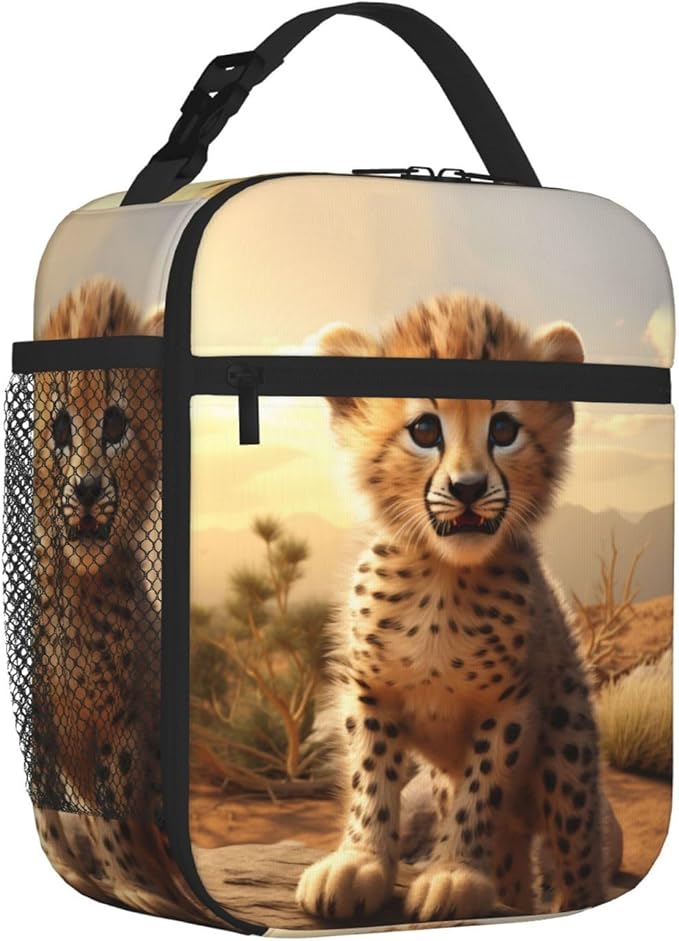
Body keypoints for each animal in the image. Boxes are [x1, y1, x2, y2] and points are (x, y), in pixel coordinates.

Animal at [28, 278, 217, 924]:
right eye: (60, 429)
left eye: (113, 425)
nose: (87, 488)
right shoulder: (43, 720)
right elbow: (56, 811)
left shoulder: (124, 726)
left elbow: (115, 815)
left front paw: (130, 881)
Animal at [297, 293, 615, 923]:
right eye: (425, 429)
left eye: (504, 429)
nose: (468, 488)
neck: (443, 580)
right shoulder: (370, 692)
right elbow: (371, 780)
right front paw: (359, 863)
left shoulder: (511, 705)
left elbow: (481, 790)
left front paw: (452, 875)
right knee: (514, 862)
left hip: (567, 757)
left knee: (577, 864)